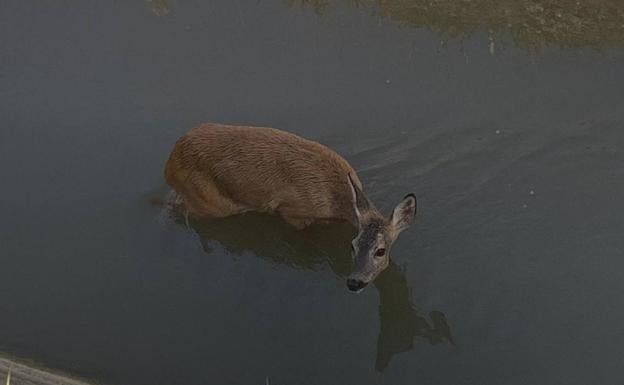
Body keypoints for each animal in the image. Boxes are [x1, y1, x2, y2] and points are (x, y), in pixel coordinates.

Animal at [166, 123, 416, 292]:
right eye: (352, 246)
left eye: (380, 250)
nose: (355, 282)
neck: (336, 202)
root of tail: (169, 163)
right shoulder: (291, 210)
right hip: (210, 204)